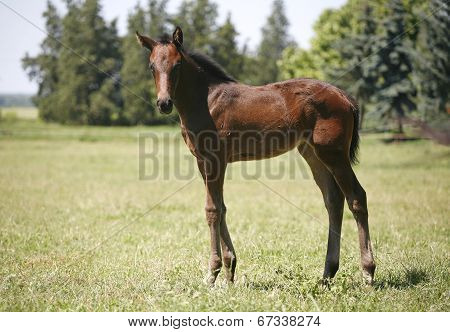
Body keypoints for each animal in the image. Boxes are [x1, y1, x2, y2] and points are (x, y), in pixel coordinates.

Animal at [137, 26, 376, 286]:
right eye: (151, 66)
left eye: (177, 65)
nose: (164, 103)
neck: (206, 100)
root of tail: (344, 97)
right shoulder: (203, 160)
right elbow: (220, 207)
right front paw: (229, 269)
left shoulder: (214, 159)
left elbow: (212, 210)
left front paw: (212, 273)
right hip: (312, 153)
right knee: (333, 200)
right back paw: (327, 274)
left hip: (333, 154)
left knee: (357, 197)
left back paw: (368, 272)